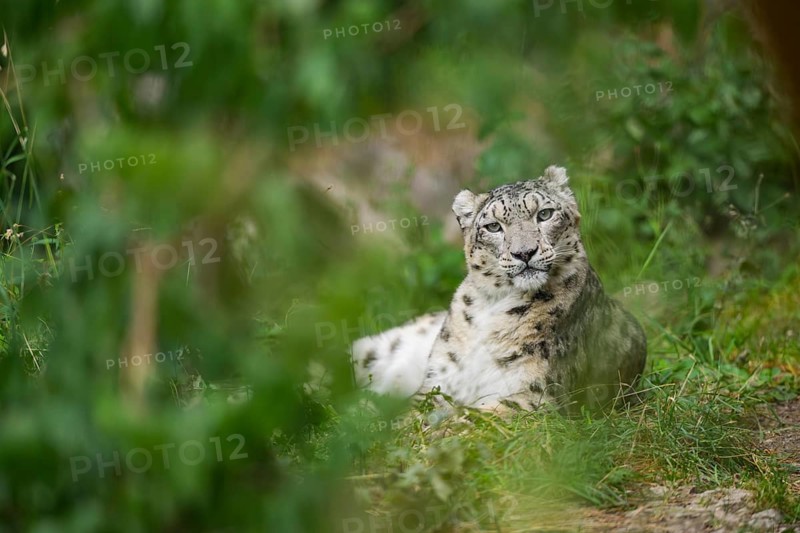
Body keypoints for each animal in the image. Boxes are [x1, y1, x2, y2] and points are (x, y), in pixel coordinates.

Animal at [351, 166, 647, 414]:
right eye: (493, 226)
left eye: (545, 214)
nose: (524, 252)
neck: (492, 304)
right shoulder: (439, 382)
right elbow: (414, 415)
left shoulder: (533, 394)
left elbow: (472, 421)